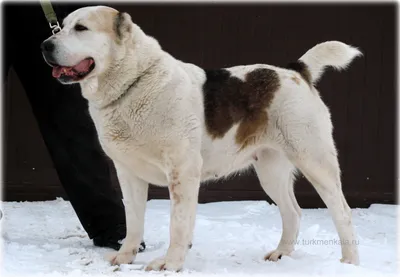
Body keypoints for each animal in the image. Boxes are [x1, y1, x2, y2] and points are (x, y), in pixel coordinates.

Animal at [41, 5, 362, 270]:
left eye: (81, 28)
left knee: (343, 212)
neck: (133, 83)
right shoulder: (129, 173)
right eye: (63, 26)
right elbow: (133, 220)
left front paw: (170, 264)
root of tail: (295, 71)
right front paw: (125, 257)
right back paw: (280, 254)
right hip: (271, 170)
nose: (45, 45)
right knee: (293, 212)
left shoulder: (182, 171)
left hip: (314, 160)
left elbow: (179, 223)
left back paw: (349, 263)